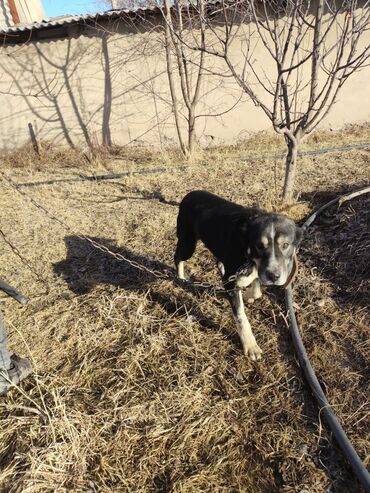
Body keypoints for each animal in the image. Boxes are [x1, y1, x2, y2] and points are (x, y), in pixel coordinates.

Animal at [175, 190, 302, 360]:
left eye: (285, 245)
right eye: (259, 245)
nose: (274, 277)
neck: (245, 244)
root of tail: (189, 194)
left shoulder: (253, 270)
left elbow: (256, 289)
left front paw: (248, 294)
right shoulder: (233, 279)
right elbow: (241, 315)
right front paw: (250, 345)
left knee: (218, 263)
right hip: (188, 244)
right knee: (178, 257)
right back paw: (181, 277)